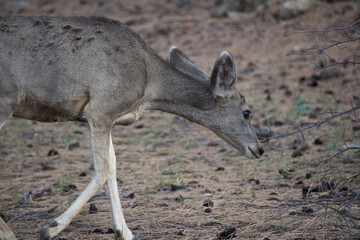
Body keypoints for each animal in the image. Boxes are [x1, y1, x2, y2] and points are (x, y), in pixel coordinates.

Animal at [0, 15, 264, 239]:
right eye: (247, 112)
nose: (259, 148)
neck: (149, 87)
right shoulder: (101, 107)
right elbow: (103, 169)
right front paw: (51, 228)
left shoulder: (104, 115)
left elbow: (113, 165)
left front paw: (124, 231)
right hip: (6, 99)